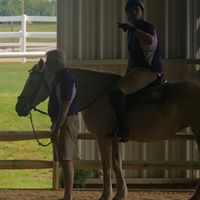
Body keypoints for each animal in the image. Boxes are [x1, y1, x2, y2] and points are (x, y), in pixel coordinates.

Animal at [16, 59, 200, 200]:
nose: (19, 107)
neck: (97, 94)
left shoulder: (103, 137)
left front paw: (105, 195)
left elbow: (106, 165)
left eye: (32, 82)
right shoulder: (114, 137)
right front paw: (120, 194)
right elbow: (117, 162)